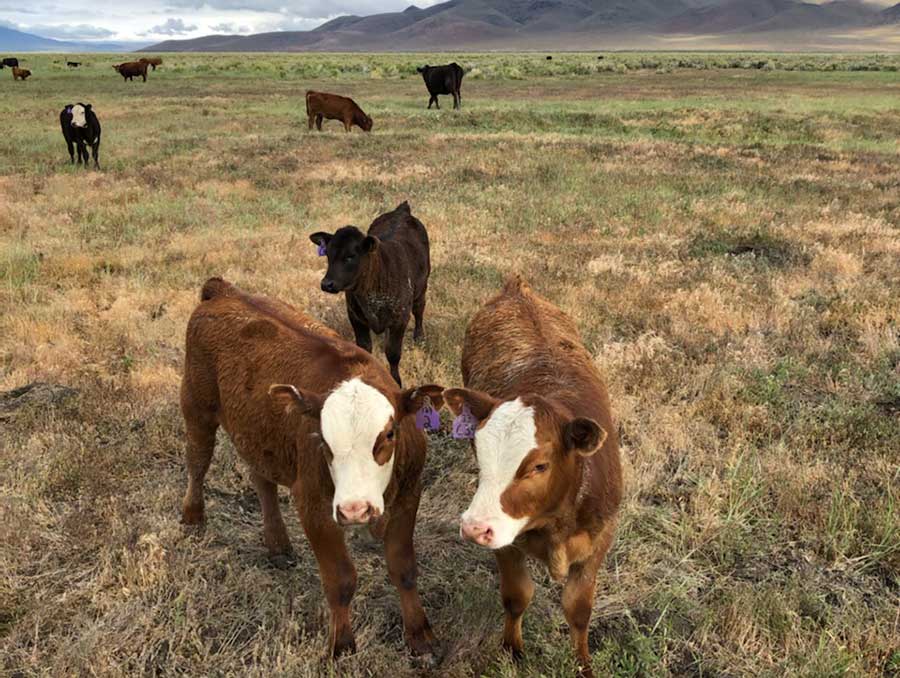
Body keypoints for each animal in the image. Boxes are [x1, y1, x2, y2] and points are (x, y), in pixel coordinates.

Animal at [180, 278, 442, 664]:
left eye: (389, 434)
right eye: (323, 438)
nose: (355, 509)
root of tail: (224, 291)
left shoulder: (410, 492)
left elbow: (404, 568)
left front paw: (421, 636)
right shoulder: (314, 504)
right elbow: (341, 579)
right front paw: (342, 644)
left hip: (260, 434)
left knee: (262, 480)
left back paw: (278, 544)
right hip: (197, 406)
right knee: (198, 463)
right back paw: (194, 516)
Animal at [312, 201, 430, 388]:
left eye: (350, 256)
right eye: (328, 255)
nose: (327, 284)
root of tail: (401, 211)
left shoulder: (400, 317)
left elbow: (393, 353)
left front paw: (396, 381)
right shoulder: (355, 316)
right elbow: (364, 347)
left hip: (422, 287)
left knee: (419, 311)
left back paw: (419, 337)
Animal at [442, 274, 624, 676]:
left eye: (540, 465)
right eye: (480, 452)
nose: (474, 528)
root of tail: (517, 288)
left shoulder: (600, 538)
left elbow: (578, 608)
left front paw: (582, 664)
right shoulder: (506, 542)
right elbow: (517, 596)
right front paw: (512, 650)